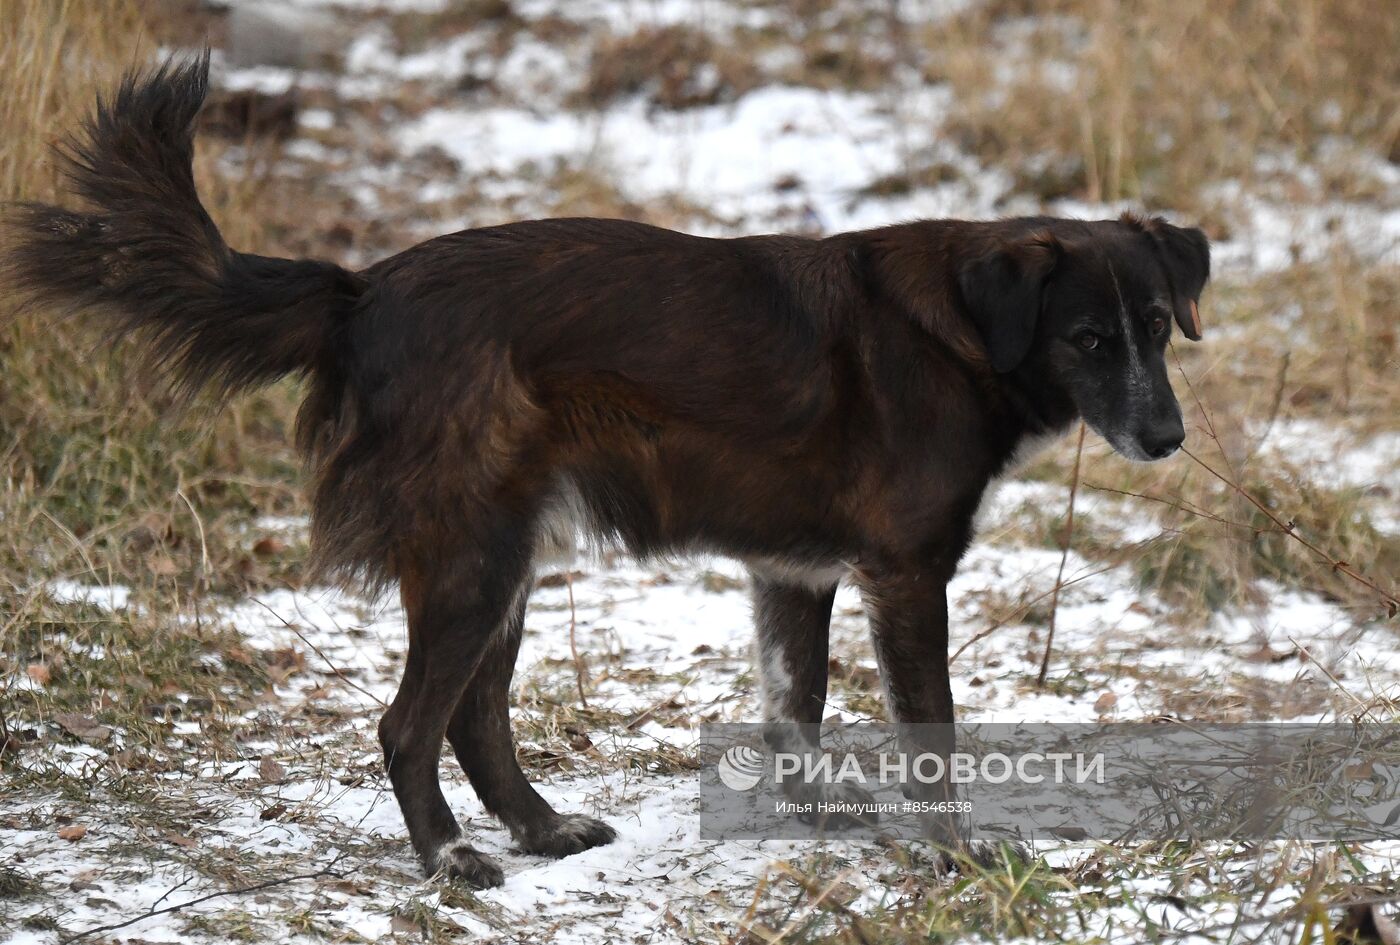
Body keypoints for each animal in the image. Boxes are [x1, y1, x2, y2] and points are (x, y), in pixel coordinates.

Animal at [5, 59, 1204, 884]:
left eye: (1155, 325)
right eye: (1087, 339)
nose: (1167, 437)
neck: (963, 326)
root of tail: (361, 293)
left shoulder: (793, 575)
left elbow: (794, 713)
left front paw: (813, 820)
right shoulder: (906, 579)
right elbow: (930, 739)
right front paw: (953, 859)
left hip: (507, 552)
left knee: (474, 717)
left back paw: (539, 829)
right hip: (475, 556)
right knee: (410, 725)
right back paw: (449, 861)